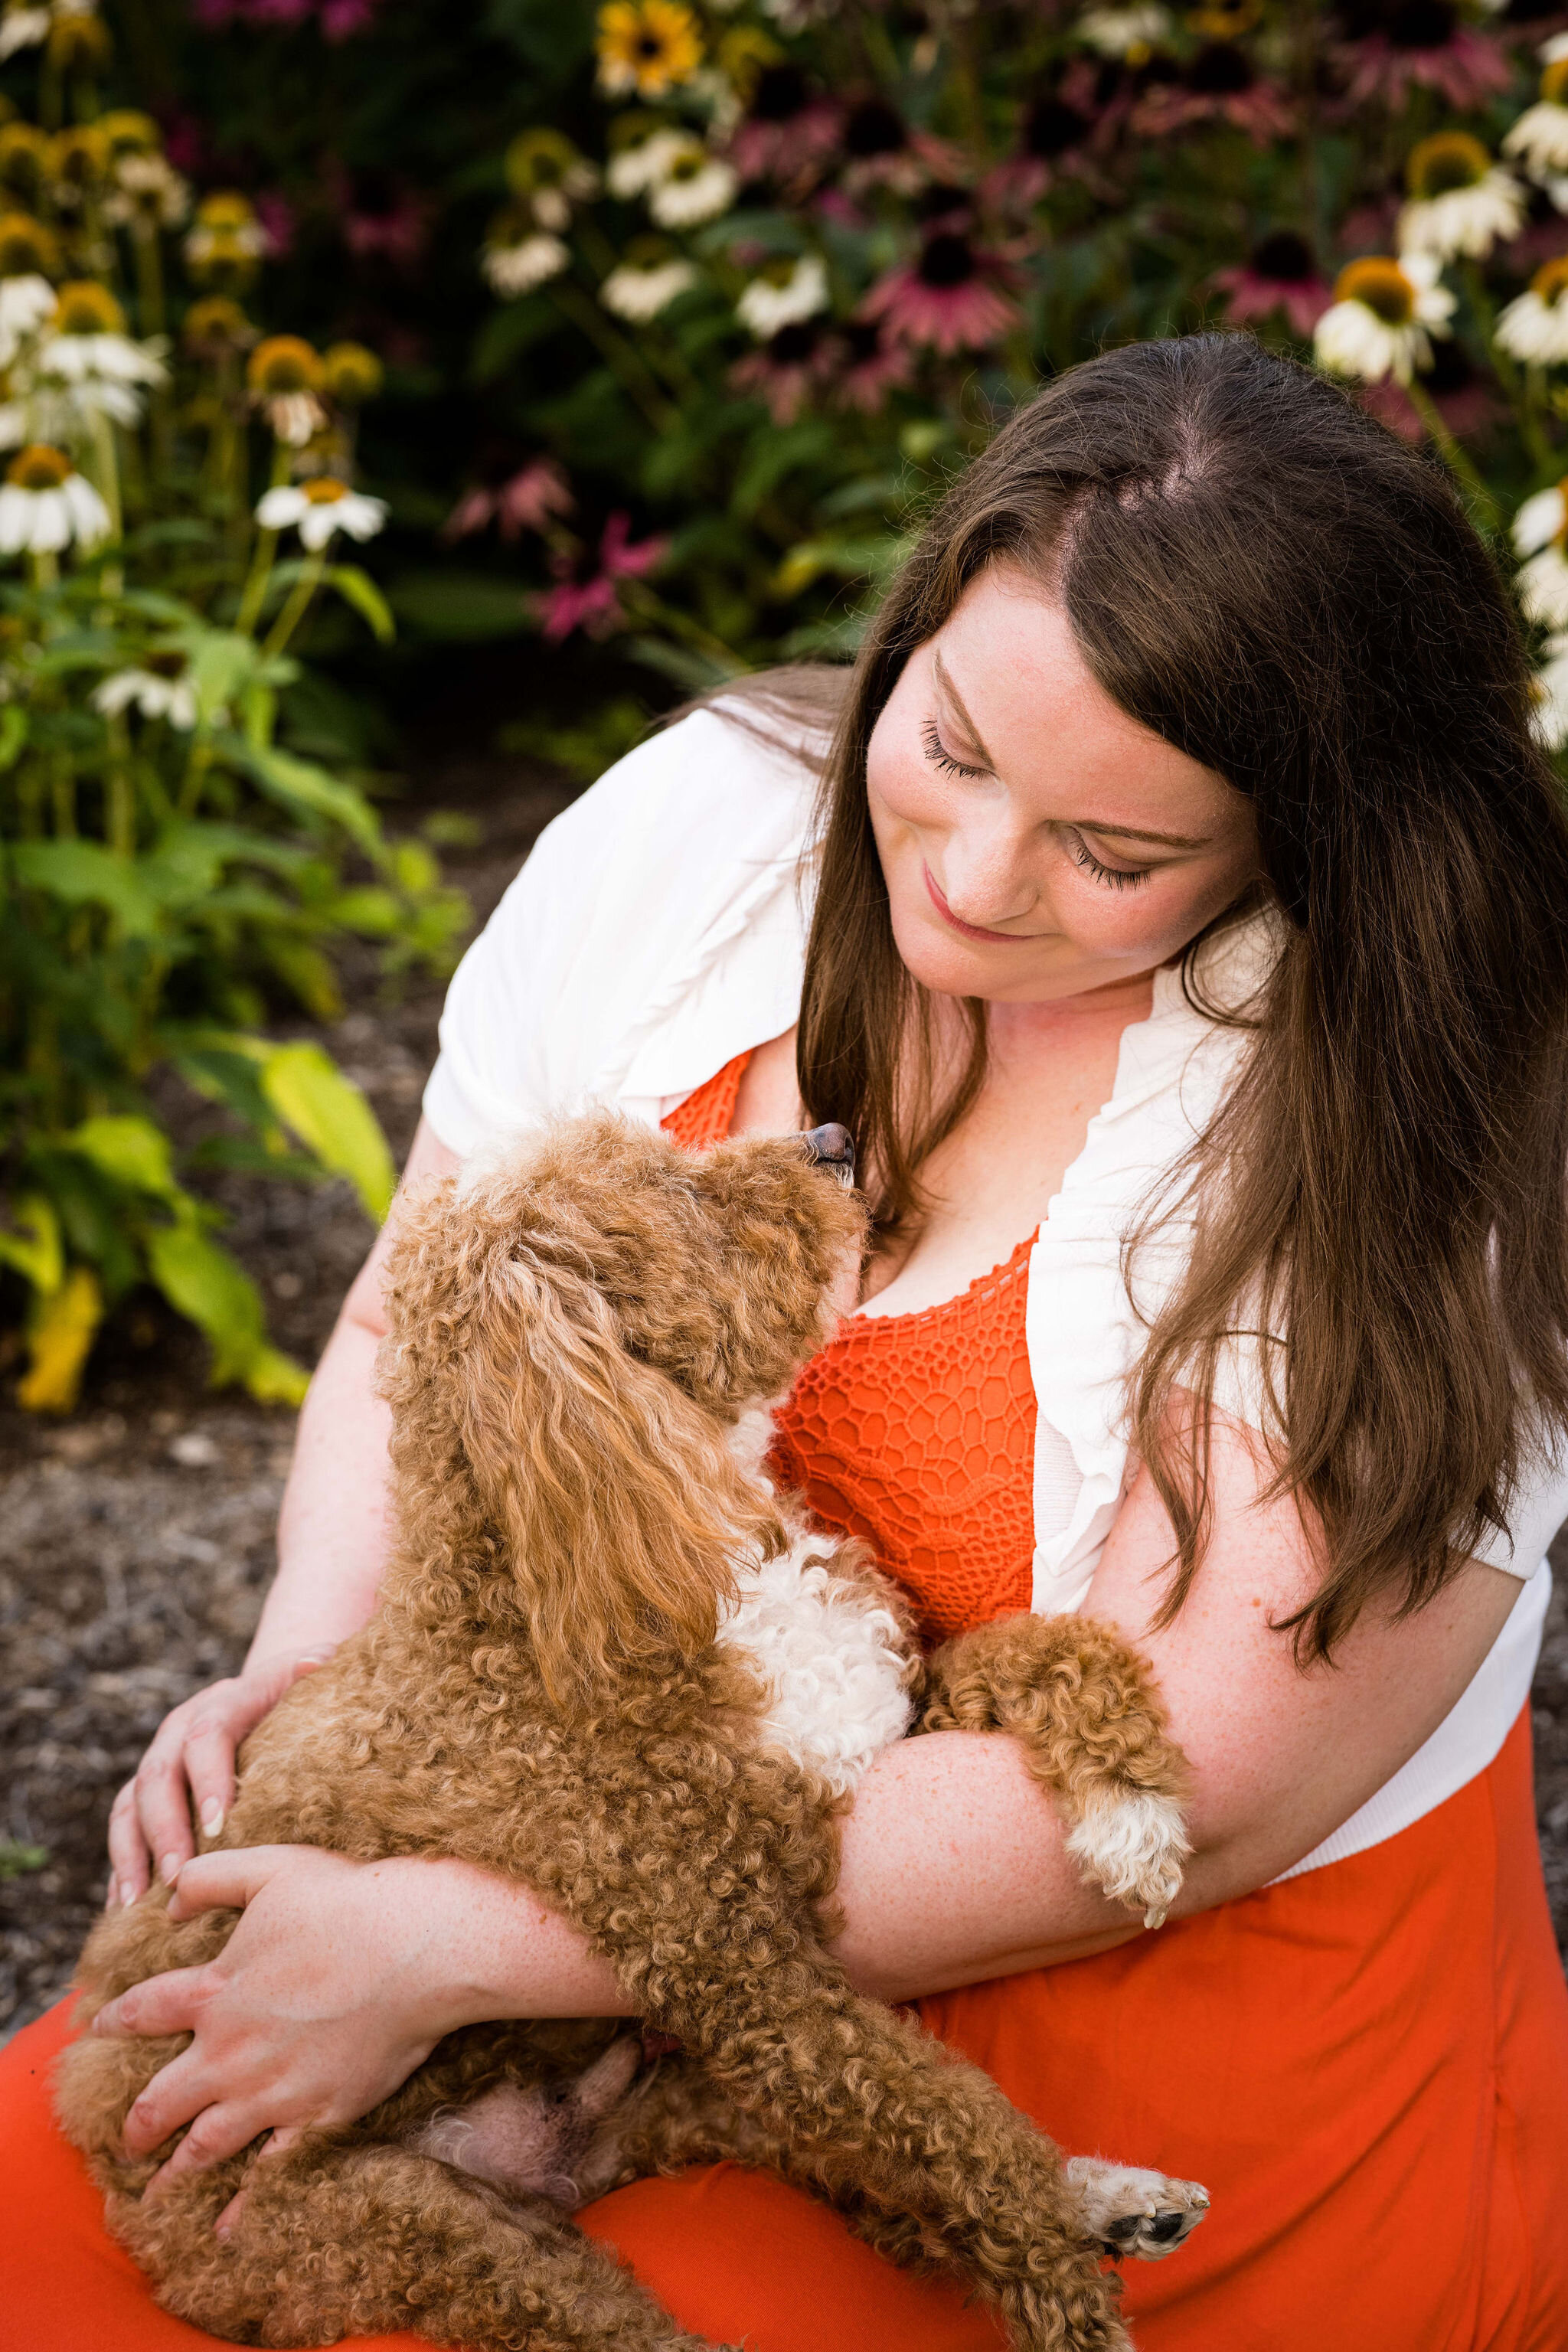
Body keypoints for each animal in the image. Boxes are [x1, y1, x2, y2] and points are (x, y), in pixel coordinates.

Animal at [61, 1109, 1213, 2352]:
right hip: (396, 2226)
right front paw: (1068, 2309)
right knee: (605, 2311)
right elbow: (959, 2134)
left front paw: (1130, 1814)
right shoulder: (742, 1975)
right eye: (677, 1195)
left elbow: (1045, 1653)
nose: (832, 1136)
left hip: (675, 2097)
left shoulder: (879, 1724)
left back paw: (1112, 2200)